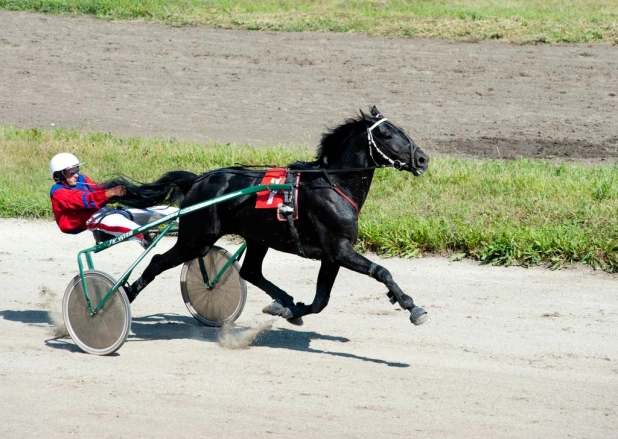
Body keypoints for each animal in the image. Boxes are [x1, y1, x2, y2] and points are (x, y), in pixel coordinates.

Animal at [107, 107, 428, 326]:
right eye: (386, 134)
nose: (423, 159)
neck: (333, 184)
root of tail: (198, 180)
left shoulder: (332, 255)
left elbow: (320, 301)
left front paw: (290, 309)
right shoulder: (338, 249)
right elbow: (381, 271)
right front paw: (412, 307)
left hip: (255, 237)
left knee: (250, 271)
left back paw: (282, 299)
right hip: (196, 238)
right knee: (158, 261)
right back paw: (124, 296)